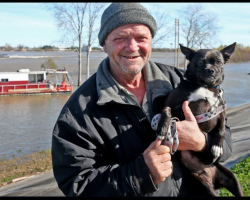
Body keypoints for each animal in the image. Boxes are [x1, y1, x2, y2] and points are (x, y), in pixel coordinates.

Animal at [156, 42, 244, 197]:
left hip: (232, 180)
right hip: (203, 184)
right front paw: (163, 127)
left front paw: (217, 147)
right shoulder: (172, 104)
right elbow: (166, 110)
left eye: (219, 62)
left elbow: (221, 129)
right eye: (201, 61)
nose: (210, 70)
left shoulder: (220, 110)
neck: (205, 87)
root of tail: (212, 177)